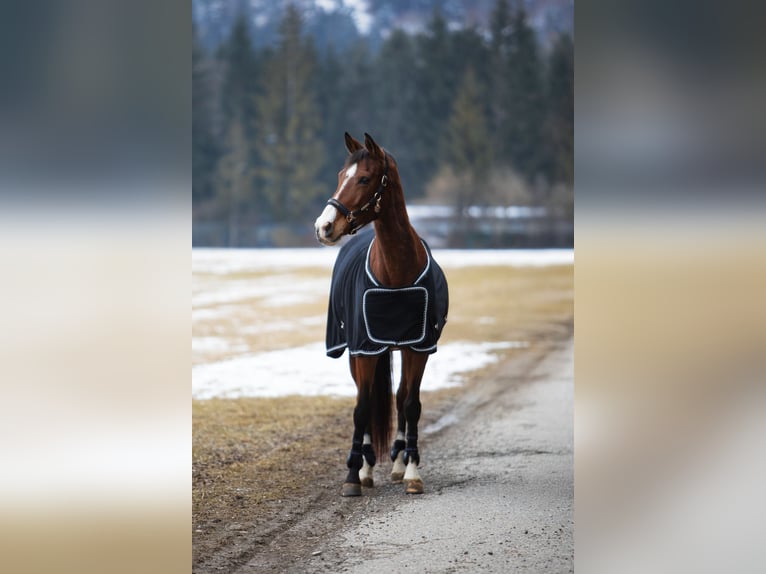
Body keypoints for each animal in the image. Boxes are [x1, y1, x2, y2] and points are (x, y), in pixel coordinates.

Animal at [314, 132, 449, 496]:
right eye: (339, 176)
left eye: (364, 178)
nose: (324, 226)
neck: (396, 271)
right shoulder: (364, 348)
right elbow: (362, 409)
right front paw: (353, 475)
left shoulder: (418, 347)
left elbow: (410, 404)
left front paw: (412, 471)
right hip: (356, 352)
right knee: (369, 399)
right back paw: (366, 467)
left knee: (399, 397)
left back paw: (398, 463)